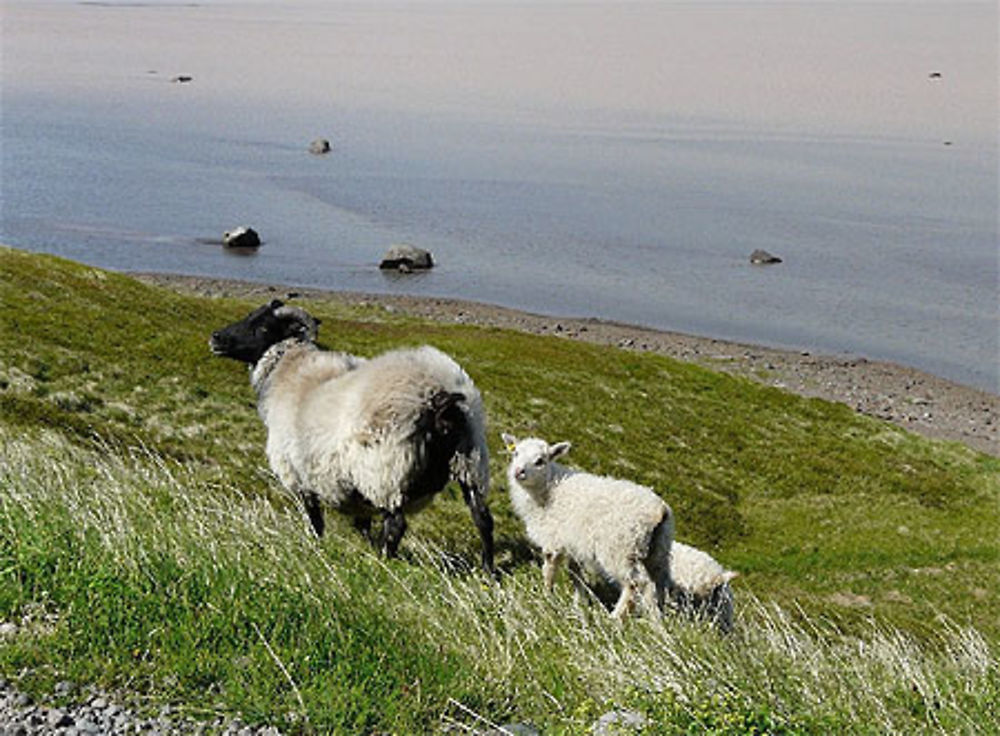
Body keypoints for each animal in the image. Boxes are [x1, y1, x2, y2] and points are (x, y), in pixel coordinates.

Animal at [504, 434, 676, 620]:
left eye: (540, 461)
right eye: (516, 453)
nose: (518, 472)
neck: (550, 488)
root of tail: (658, 510)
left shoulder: (553, 542)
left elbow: (549, 571)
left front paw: (546, 596)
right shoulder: (574, 544)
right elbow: (575, 573)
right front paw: (579, 603)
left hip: (620, 549)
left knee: (635, 583)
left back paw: (615, 618)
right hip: (658, 550)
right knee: (658, 584)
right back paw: (655, 619)